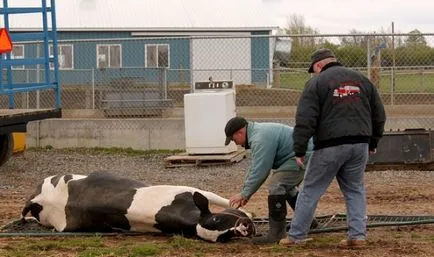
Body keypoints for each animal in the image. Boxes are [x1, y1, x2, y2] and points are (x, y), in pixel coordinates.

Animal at [20, 171, 256, 241]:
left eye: (225, 236)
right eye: (216, 219)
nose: (244, 227)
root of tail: (34, 200)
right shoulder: (188, 189)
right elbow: (222, 199)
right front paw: (248, 210)